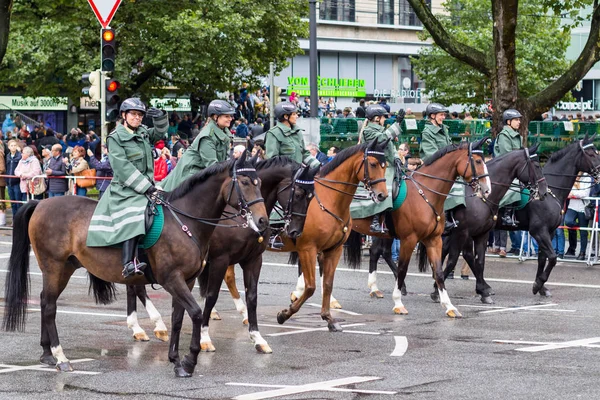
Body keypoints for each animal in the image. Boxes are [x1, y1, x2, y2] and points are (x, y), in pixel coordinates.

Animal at [1, 153, 270, 378]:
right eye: (245, 182)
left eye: (260, 182)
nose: (262, 221)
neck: (184, 221)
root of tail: (42, 204)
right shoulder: (173, 278)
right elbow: (195, 313)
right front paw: (190, 360)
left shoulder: (188, 279)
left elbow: (178, 318)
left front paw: (176, 360)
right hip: (54, 267)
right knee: (49, 307)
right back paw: (60, 357)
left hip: (63, 268)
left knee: (46, 301)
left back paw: (47, 353)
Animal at [123, 156, 318, 354]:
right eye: (299, 193)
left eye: (311, 196)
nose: (295, 231)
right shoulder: (220, 260)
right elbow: (211, 296)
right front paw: (204, 337)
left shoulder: (253, 260)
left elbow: (252, 297)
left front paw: (257, 337)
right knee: (136, 287)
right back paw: (149, 326)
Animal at [344, 139, 490, 318]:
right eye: (478, 161)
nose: (487, 190)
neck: (425, 193)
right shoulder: (409, 239)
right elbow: (402, 269)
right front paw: (398, 302)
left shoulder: (434, 240)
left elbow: (439, 272)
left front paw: (449, 306)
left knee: (375, 251)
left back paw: (373, 288)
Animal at [426, 145, 548, 304]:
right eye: (537, 165)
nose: (544, 191)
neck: (482, 198)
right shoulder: (461, 233)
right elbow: (453, 260)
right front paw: (436, 291)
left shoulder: (481, 234)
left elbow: (479, 262)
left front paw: (483, 292)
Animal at [492, 135, 600, 296]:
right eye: (592, 154)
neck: (549, 191)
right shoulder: (539, 231)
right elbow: (553, 258)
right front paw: (539, 284)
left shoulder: (549, 232)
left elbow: (543, 259)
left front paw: (541, 286)